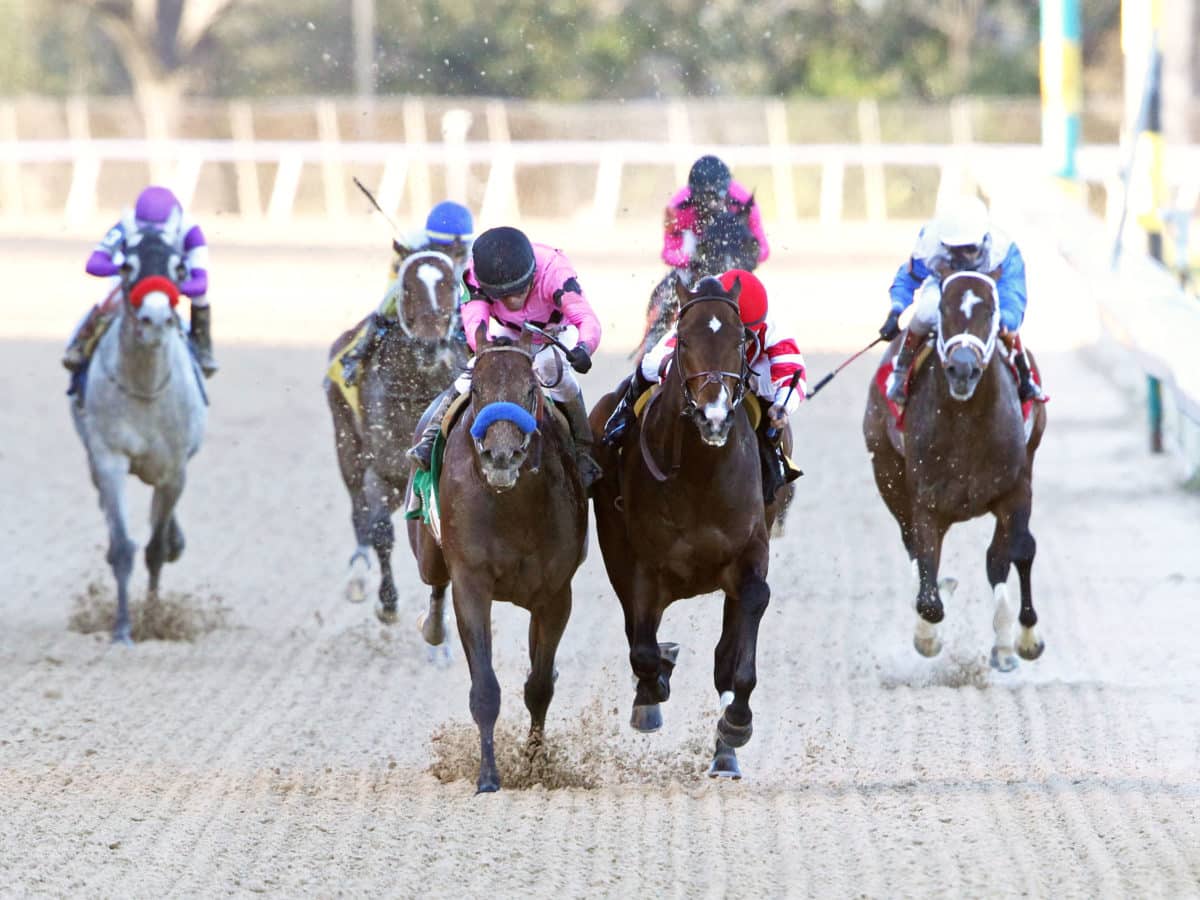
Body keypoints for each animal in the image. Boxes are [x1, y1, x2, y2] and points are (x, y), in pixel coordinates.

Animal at [70, 229, 207, 643]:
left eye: (180, 269)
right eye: (128, 267)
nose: (156, 319)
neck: (145, 387)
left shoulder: (173, 469)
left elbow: (156, 549)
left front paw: (154, 618)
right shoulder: (109, 458)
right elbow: (123, 547)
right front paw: (123, 629)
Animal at [326, 247, 465, 628]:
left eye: (451, 283)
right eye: (407, 289)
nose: (431, 345)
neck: (414, 392)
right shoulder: (381, 470)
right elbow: (381, 532)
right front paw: (387, 602)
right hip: (347, 446)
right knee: (360, 513)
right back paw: (358, 576)